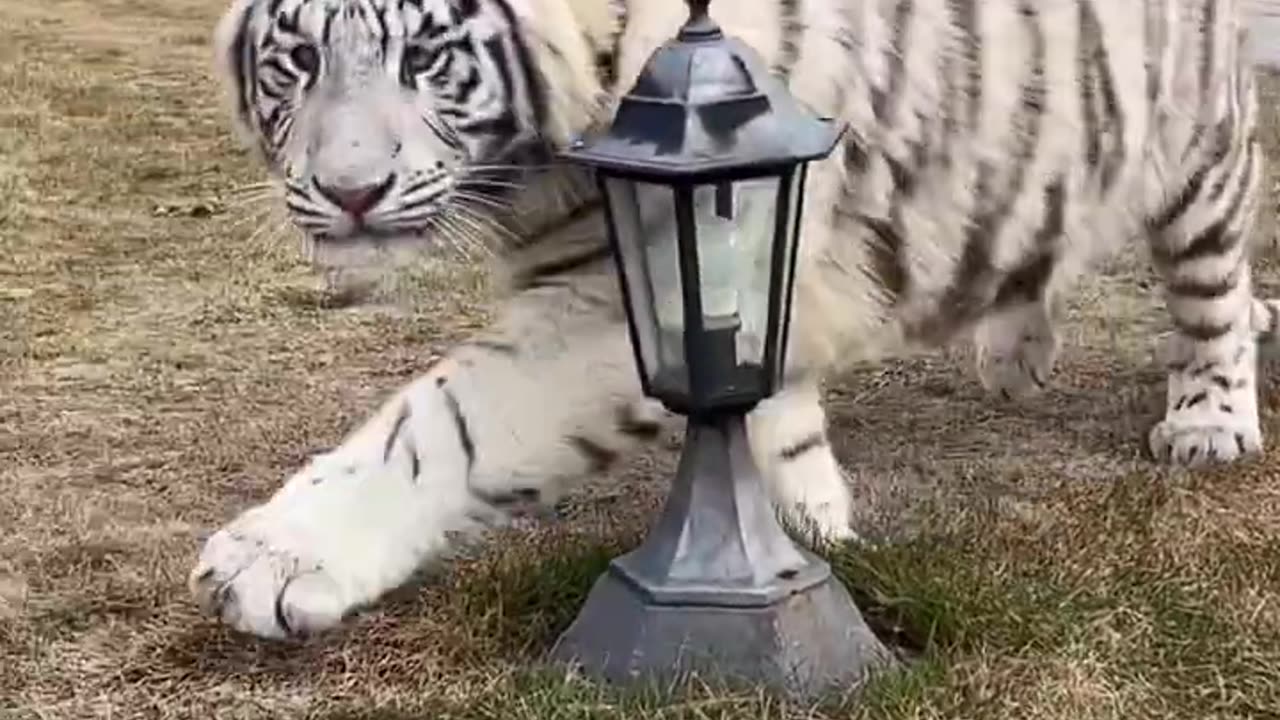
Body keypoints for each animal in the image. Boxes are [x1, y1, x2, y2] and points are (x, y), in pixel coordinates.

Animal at [192, 0, 1280, 638]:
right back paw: (1015, 348)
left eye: (425, 56)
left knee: (1211, 283)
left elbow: (439, 425)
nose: (350, 195)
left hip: (1194, 148)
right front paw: (809, 518)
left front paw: (274, 558)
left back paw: (1210, 419)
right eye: (296, 59)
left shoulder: (609, 303)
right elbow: (764, 404)